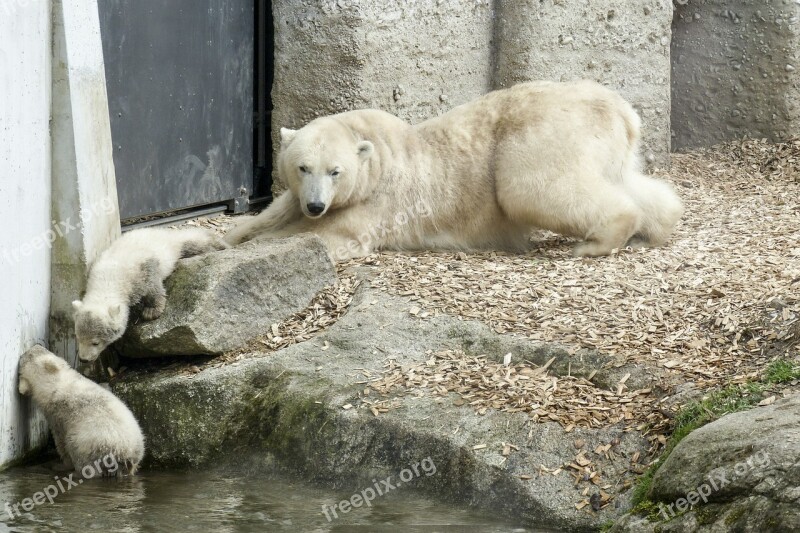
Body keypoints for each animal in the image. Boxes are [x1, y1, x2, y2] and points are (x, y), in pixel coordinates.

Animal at [19, 344, 145, 474]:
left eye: (30, 355)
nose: (36, 345)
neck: (57, 386)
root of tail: (125, 455)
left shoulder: (58, 414)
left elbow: (61, 442)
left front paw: (60, 466)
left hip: (91, 445)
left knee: (78, 451)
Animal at [72, 224, 228, 362]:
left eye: (95, 342)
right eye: (78, 337)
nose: (84, 359)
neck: (109, 276)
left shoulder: (142, 268)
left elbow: (153, 286)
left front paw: (151, 312)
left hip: (173, 245)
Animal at [225, 79, 680, 260]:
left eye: (335, 171)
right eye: (303, 167)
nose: (317, 205)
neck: (376, 154)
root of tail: (622, 111)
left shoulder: (376, 203)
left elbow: (332, 235)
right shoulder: (298, 195)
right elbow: (271, 216)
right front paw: (226, 239)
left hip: (542, 135)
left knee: (528, 189)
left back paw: (597, 241)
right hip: (606, 146)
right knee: (627, 181)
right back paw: (655, 226)